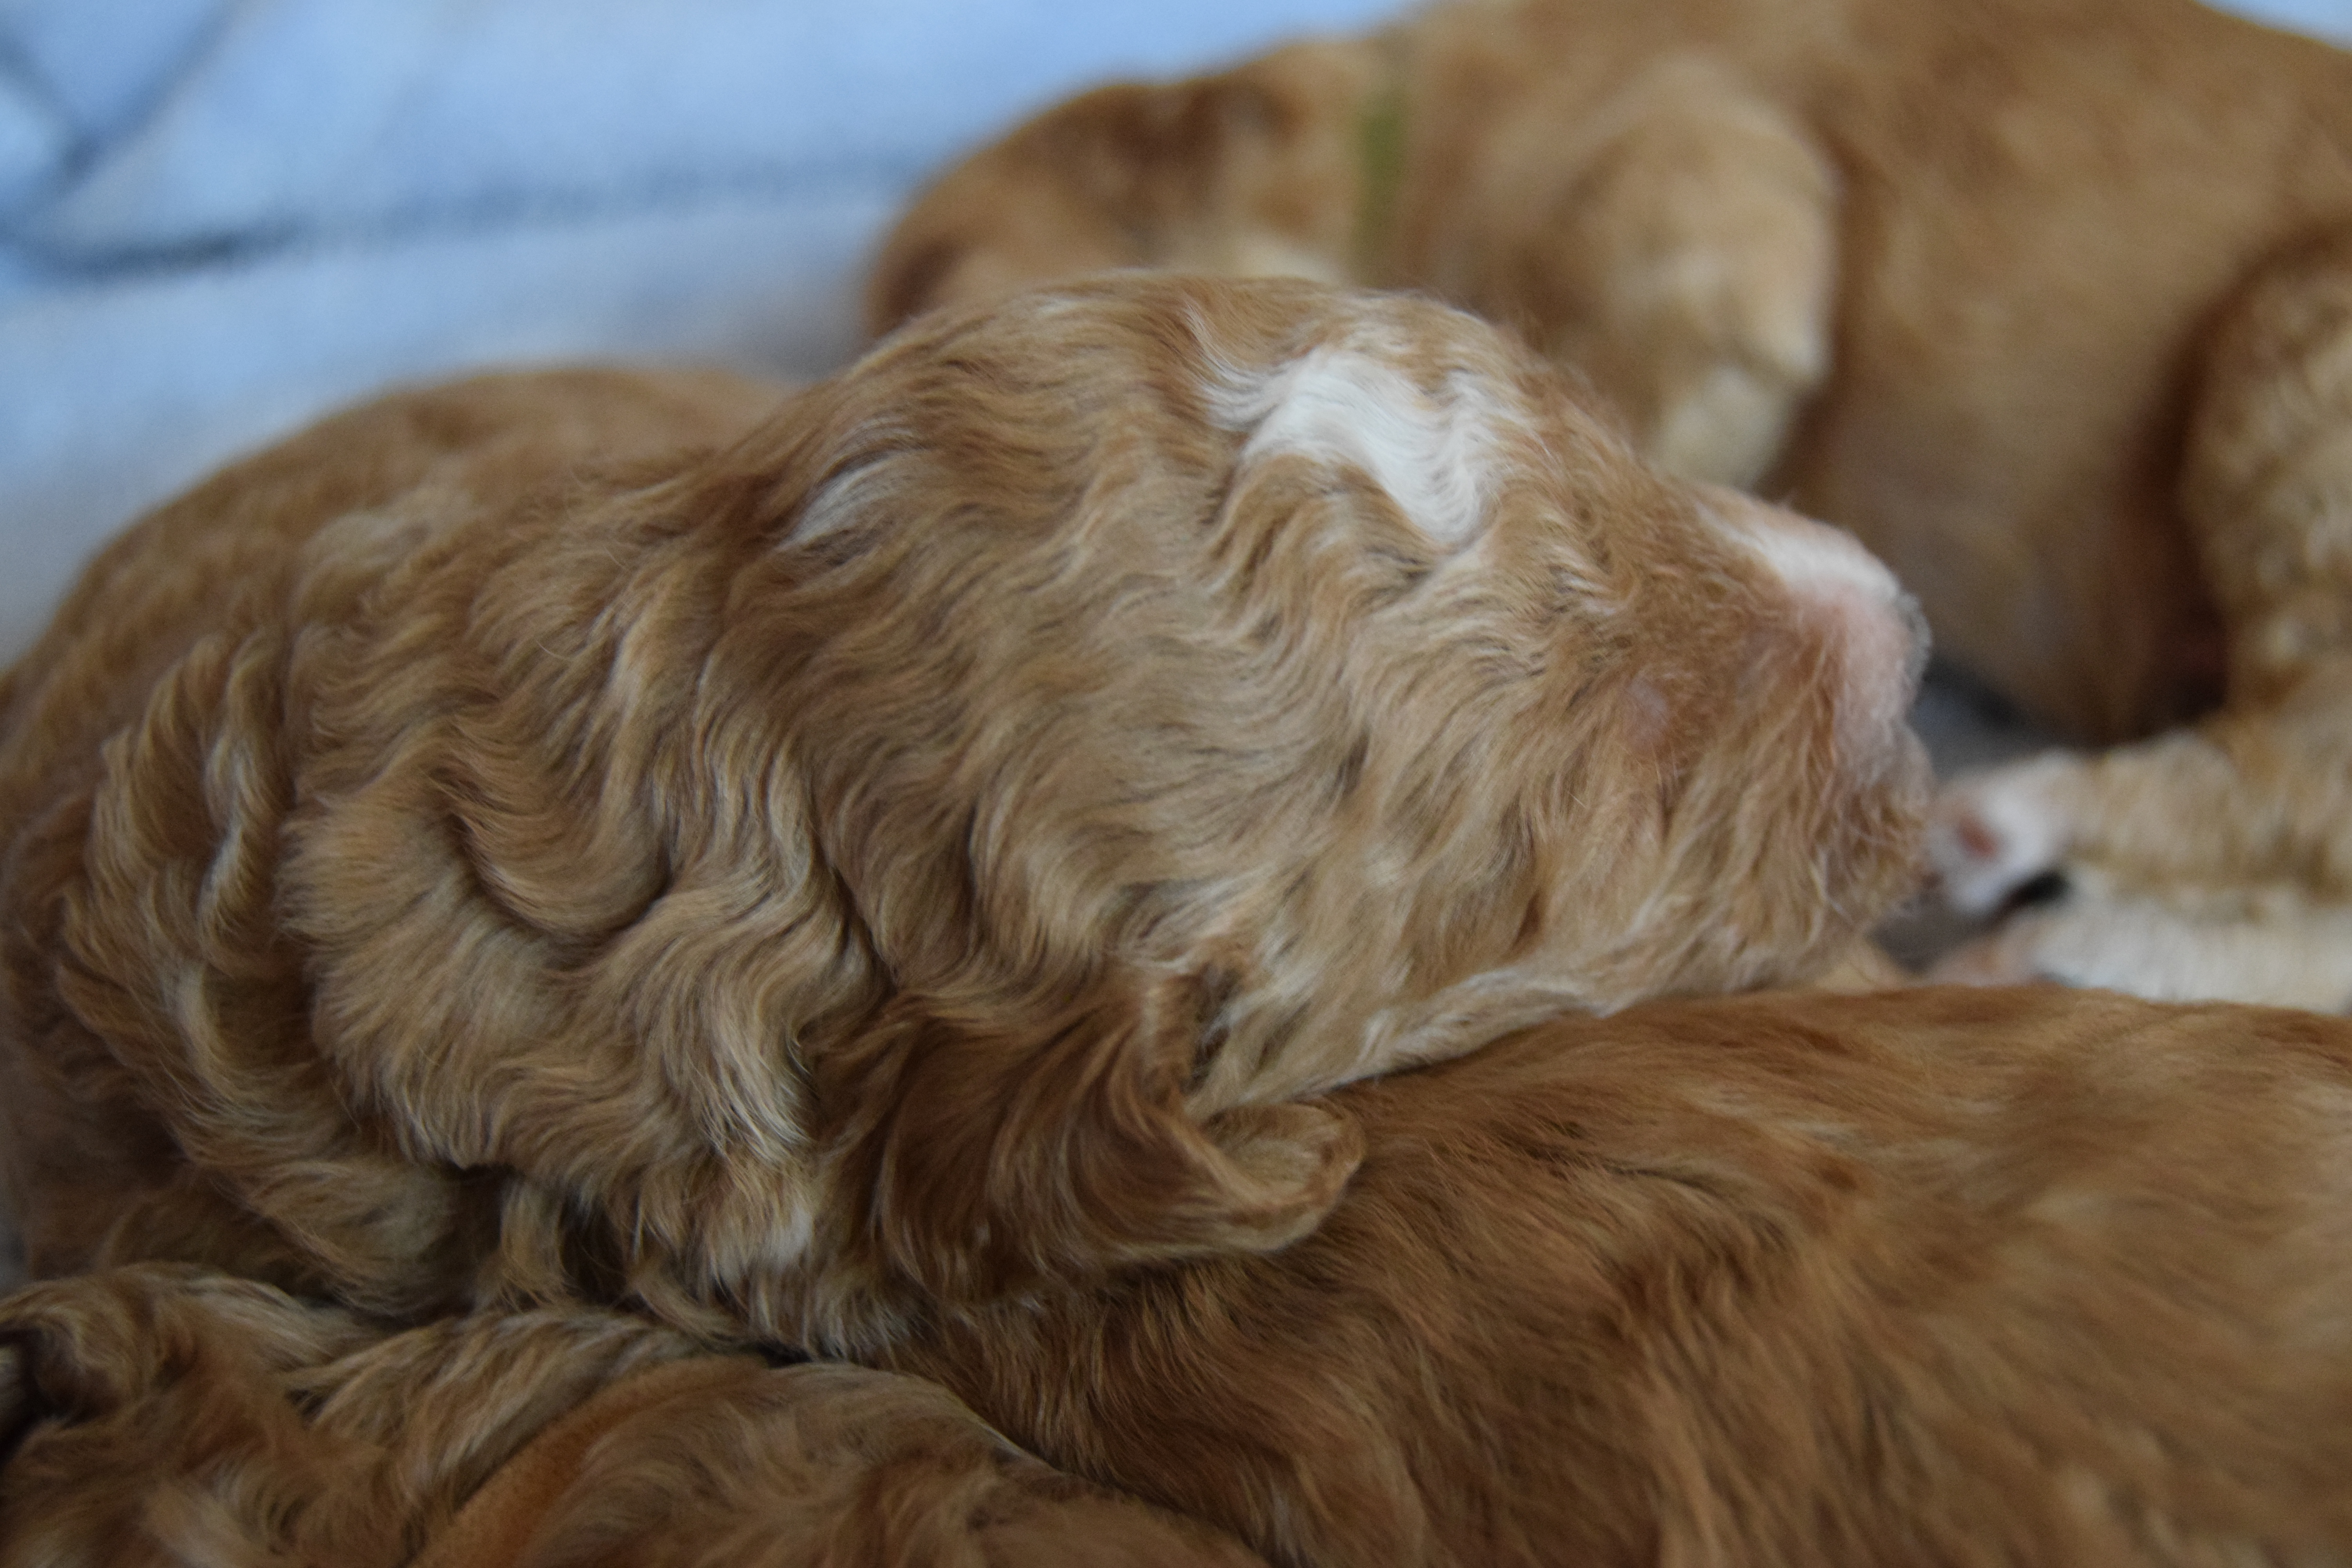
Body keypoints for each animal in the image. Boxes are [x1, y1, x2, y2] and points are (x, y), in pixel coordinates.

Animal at [870, 0, 2352, 1011]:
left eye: (937, 277)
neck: (1400, 139)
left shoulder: (1715, 223)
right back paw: (2047, 949)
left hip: (2286, 365)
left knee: (2287, 773)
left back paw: (2003, 831)